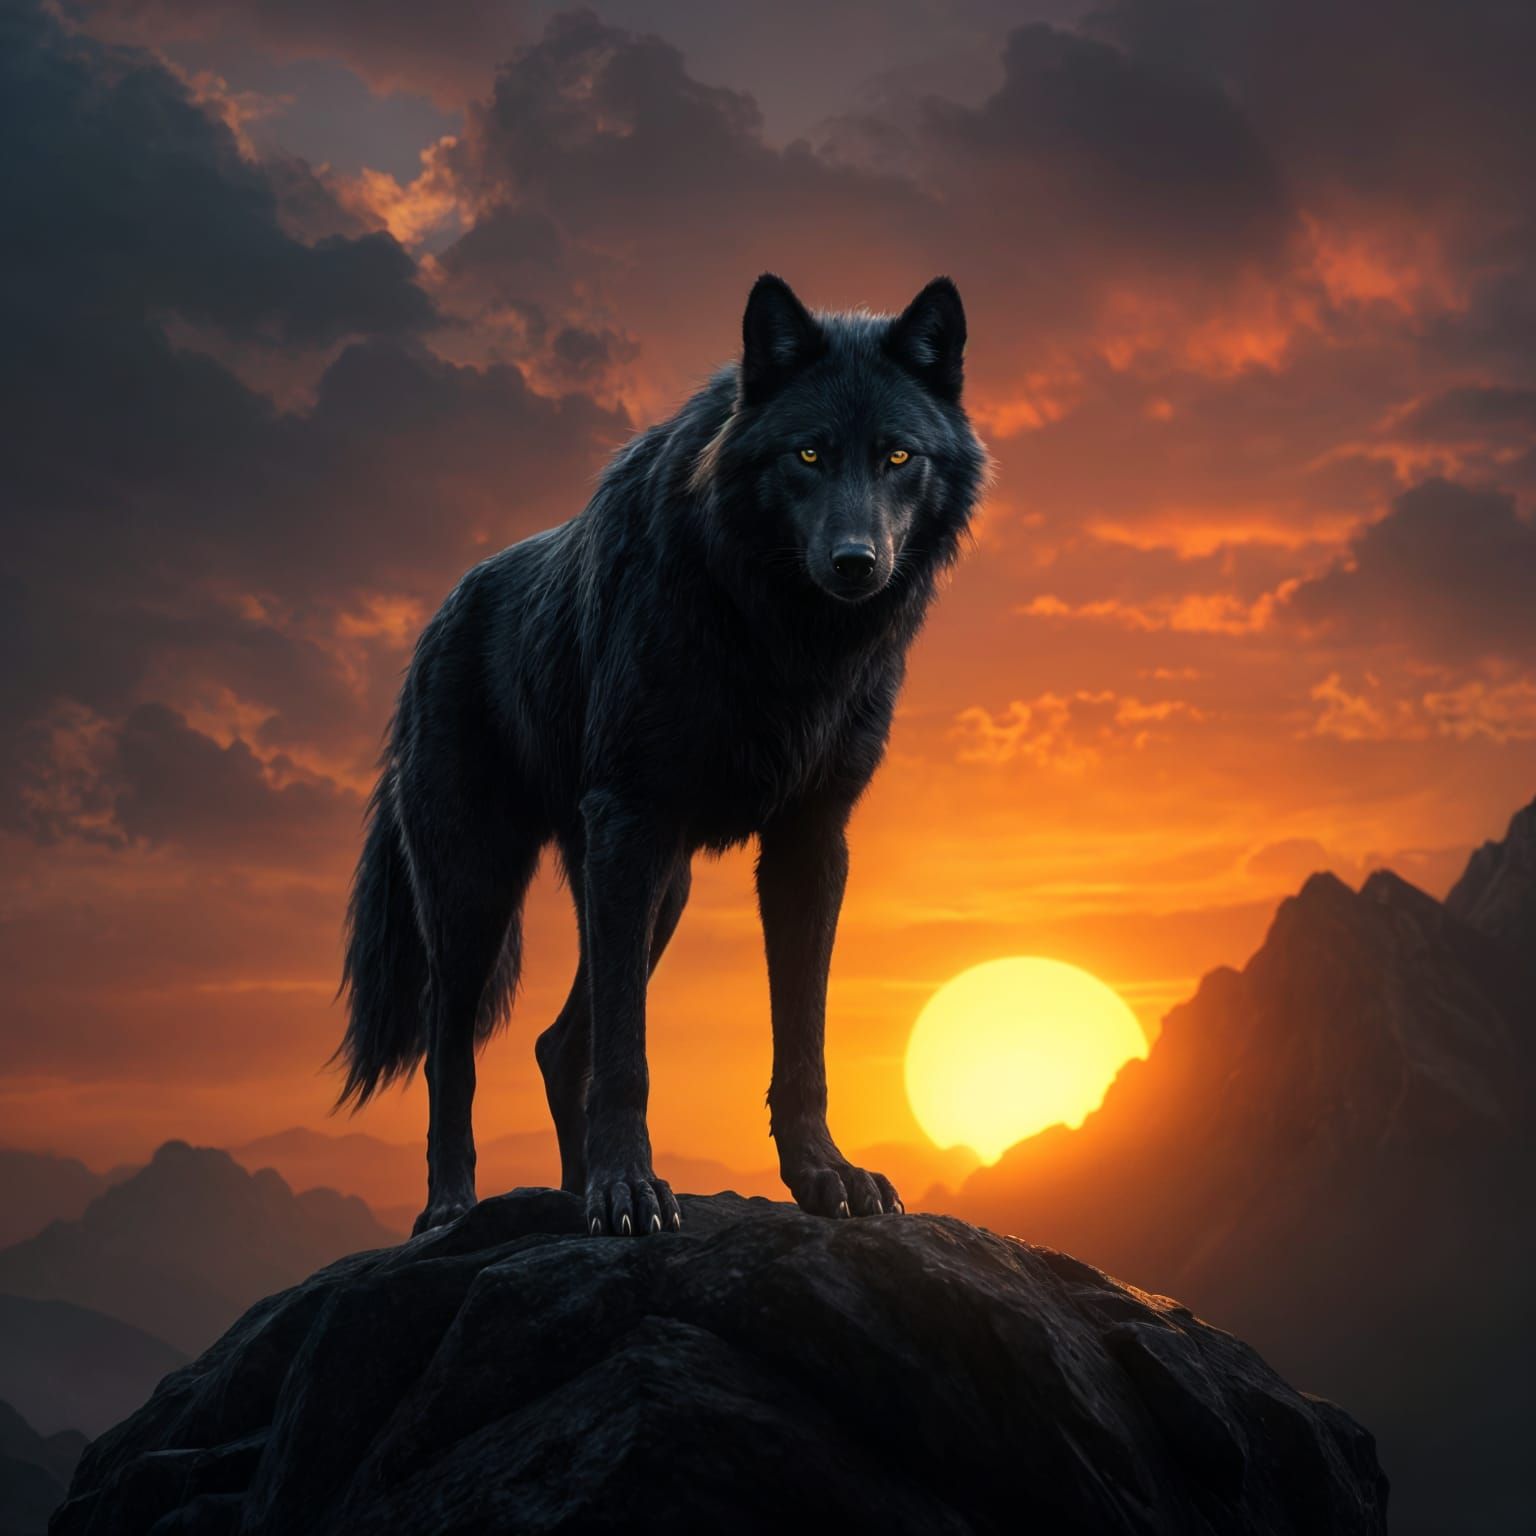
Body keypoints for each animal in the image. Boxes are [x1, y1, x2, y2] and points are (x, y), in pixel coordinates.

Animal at [335, 273, 989, 1236]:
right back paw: (454, 1207)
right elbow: (630, 1055)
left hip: (661, 892)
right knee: (456, 1049)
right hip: (480, 893)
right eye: (807, 455)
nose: (855, 562)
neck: (780, 635)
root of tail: (435, 622)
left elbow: (802, 1041)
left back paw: (571, 1197)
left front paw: (823, 1176)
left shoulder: (809, 841)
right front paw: (629, 1189)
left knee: (557, 1044)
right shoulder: (630, 823)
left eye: (899, 457)